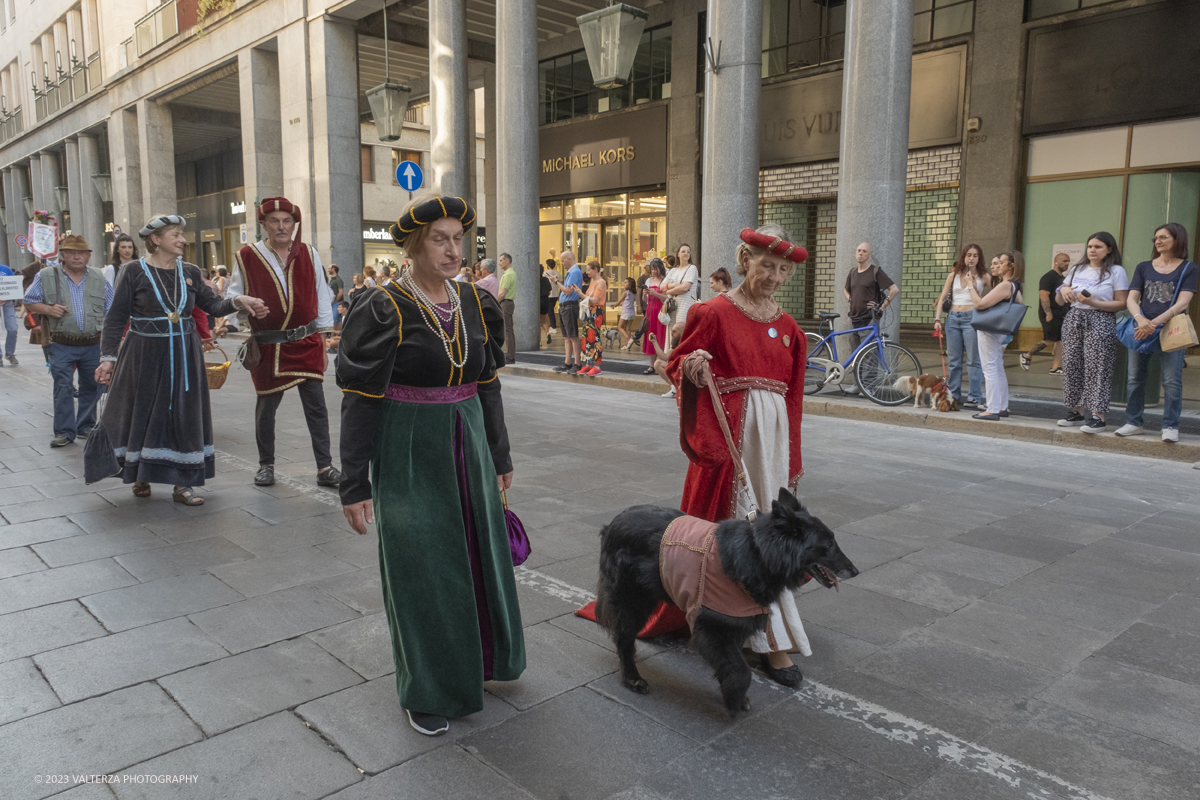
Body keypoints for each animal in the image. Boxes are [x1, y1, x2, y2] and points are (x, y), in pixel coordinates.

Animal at [595, 491, 859, 714]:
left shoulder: (737, 626)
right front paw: (734, 699)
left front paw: (733, 693)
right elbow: (742, 670)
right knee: (623, 638)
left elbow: (734, 665)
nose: (855, 571)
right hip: (633, 602)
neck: (758, 554)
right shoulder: (714, 628)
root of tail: (613, 523)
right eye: (828, 545)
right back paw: (632, 678)